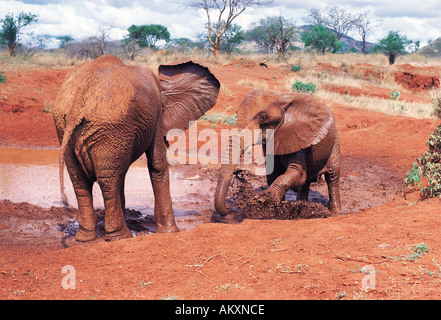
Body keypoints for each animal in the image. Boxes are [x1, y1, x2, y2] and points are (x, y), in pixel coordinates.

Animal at [53, 55, 220, 240]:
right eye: (164, 107)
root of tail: (77, 104)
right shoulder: (155, 117)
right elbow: (157, 164)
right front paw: (171, 233)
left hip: (69, 127)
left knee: (81, 180)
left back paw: (86, 238)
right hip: (111, 126)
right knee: (107, 180)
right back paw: (121, 236)